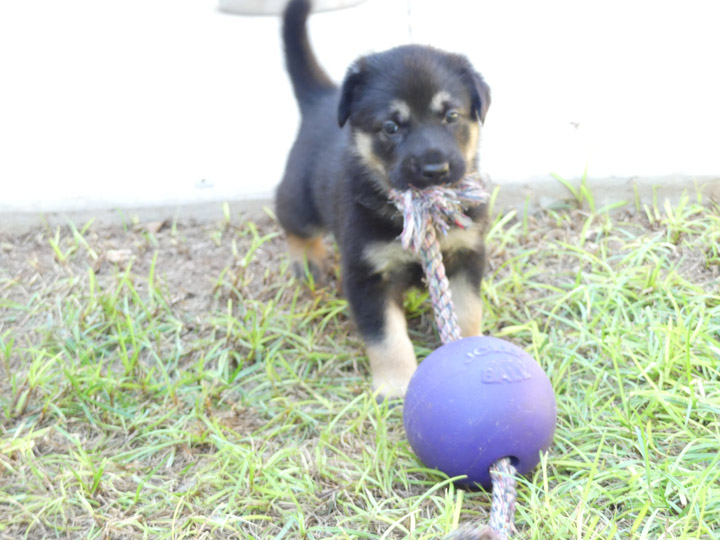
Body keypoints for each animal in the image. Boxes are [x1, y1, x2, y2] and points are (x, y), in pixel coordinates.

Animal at [276, 0, 490, 396]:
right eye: (391, 127)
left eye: (451, 116)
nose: (434, 169)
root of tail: (321, 99)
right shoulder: (367, 276)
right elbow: (386, 336)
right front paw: (397, 386)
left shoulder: (466, 254)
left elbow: (468, 310)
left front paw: (472, 349)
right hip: (300, 200)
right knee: (293, 223)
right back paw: (307, 261)